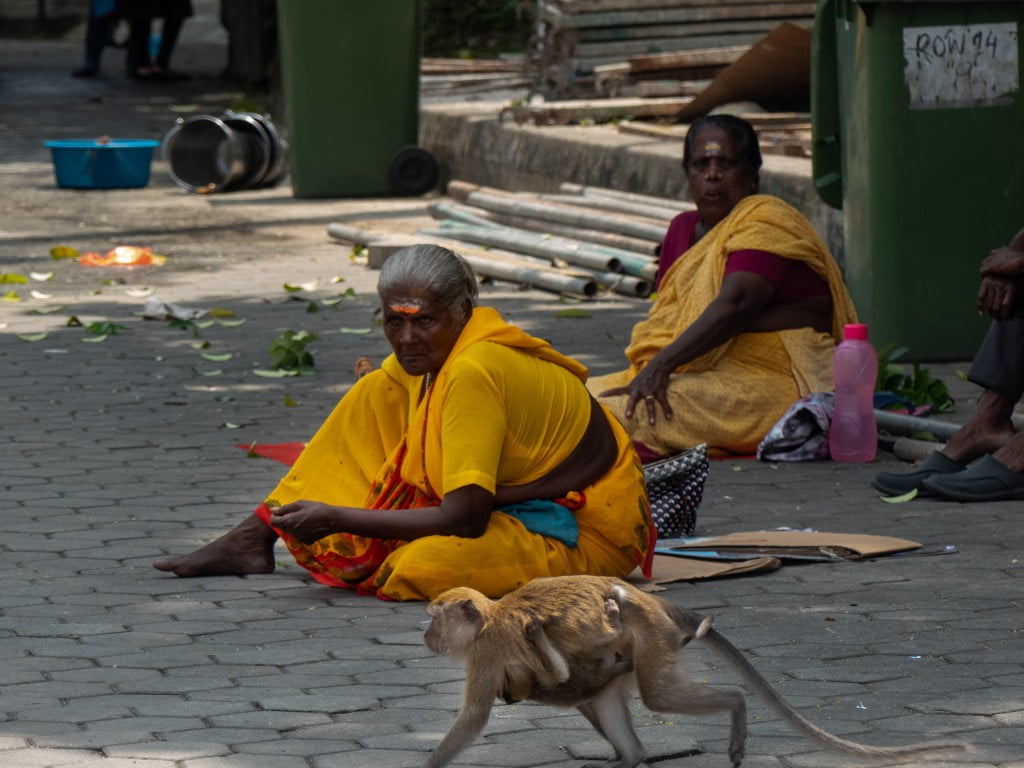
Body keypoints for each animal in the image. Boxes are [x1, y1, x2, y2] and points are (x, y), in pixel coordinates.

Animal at [421, 577, 966, 768]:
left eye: (433, 616)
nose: (425, 636)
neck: (490, 617)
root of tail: (653, 603)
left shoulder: (487, 651)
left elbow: (475, 717)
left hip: (648, 638)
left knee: (657, 697)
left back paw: (736, 708)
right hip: (631, 651)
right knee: (603, 694)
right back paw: (631, 757)